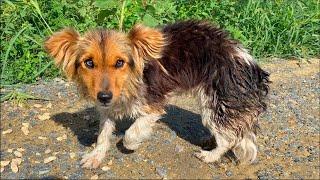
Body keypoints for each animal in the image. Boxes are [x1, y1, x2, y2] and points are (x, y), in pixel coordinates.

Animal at [44, 20, 270, 168]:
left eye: (120, 62)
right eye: (89, 63)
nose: (104, 97)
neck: (128, 84)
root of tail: (250, 64)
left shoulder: (152, 105)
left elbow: (130, 133)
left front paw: (132, 145)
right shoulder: (107, 109)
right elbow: (103, 134)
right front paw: (96, 156)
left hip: (215, 103)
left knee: (229, 138)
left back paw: (210, 156)